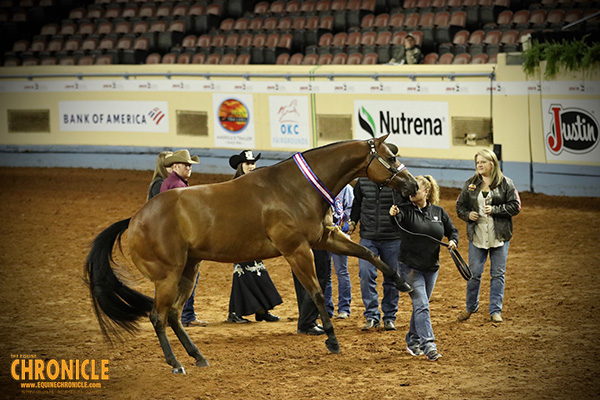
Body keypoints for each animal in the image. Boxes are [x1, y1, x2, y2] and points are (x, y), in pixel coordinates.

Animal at [84, 135, 418, 376]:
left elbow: (369, 254)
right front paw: (332, 340)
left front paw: (404, 284)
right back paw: (176, 363)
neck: (296, 187)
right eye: (391, 157)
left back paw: (198, 357)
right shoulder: (297, 250)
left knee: (175, 315)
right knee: (158, 317)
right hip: (167, 276)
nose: (413, 185)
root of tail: (135, 219)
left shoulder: (325, 238)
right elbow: (317, 292)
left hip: (189, 270)